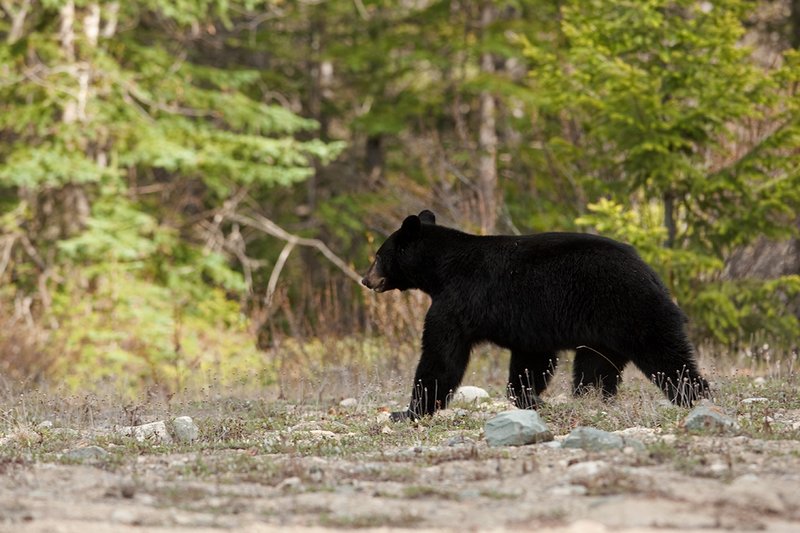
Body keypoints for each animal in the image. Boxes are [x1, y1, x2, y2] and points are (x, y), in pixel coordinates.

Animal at [362, 210, 709, 421]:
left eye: (378, 255)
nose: (366, 279)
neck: (441, 269)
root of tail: (653, 276)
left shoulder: (457, 301)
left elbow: (442, 355)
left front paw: (408, 411)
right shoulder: (529, 323)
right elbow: (530, 361)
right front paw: (529, 399)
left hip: (632, 310)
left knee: (667, 357)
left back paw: (695, 395)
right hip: (604, 332)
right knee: (595, 368)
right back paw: (591, 400)